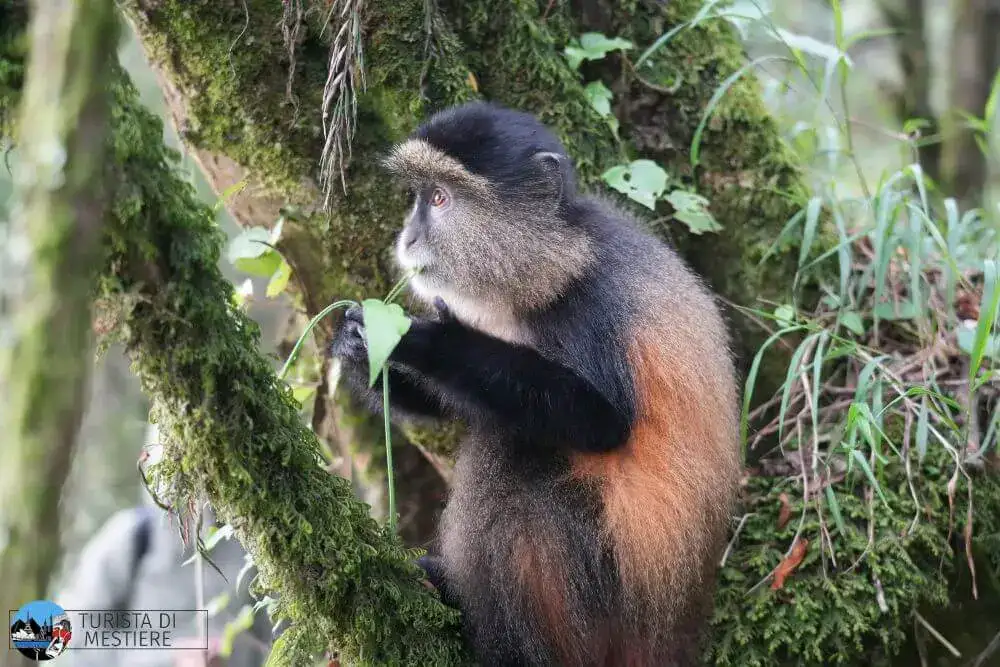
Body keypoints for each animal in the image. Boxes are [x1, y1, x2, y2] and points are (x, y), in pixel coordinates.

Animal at [331, 101, 741, 667]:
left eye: (439, 199)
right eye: (418, 197)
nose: (407, 238)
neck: (560, 256)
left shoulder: (592, 307)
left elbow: (601, 424)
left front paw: (426, 340)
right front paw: (359, 345)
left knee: (513, 457)